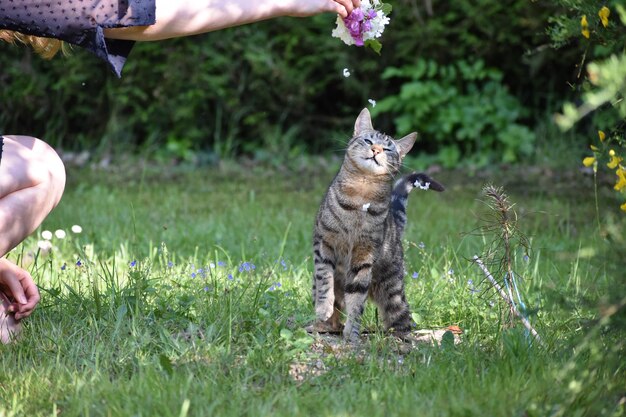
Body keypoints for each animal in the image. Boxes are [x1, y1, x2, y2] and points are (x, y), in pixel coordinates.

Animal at [310, 107, 442, 342]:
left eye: (387, 147)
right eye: (368, 140)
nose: (376, 149)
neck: (362, 193)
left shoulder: (364, 256)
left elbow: (356, 300)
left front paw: (352, 334)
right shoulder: (323, 244)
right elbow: (325, 281)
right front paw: (323, 309)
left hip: (393, 291)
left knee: (403, 318)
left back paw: (404, 338)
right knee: (333, 308)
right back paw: (322, 325)